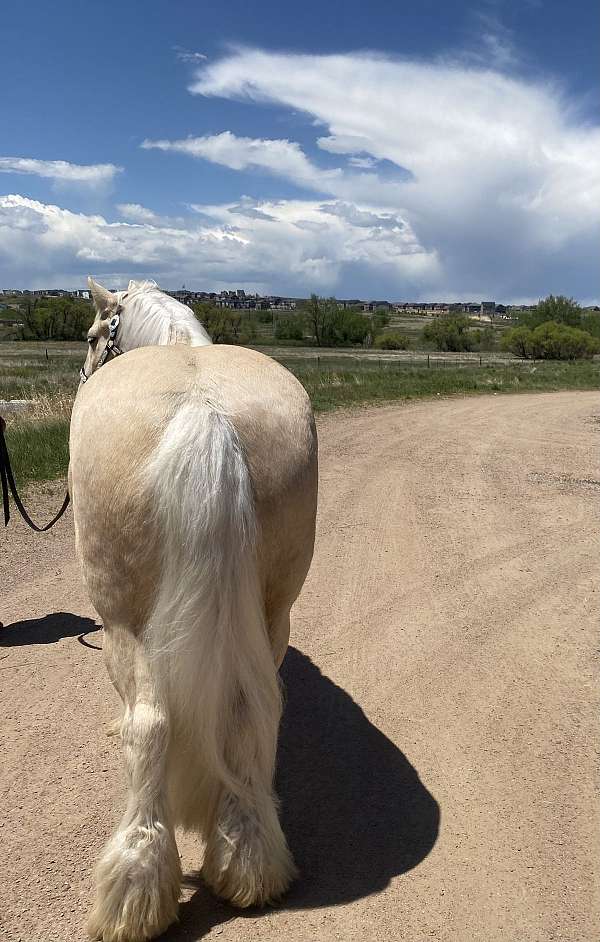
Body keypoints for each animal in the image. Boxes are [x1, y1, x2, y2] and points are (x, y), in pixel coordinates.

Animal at [70, 280, 318, 942]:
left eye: (92, 334)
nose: (82, 370)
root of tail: (204, 412)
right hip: (274, 610)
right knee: (248, 711)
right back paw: (247, 861)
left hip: (125, 622)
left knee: (151, 724)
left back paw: (135, 888)